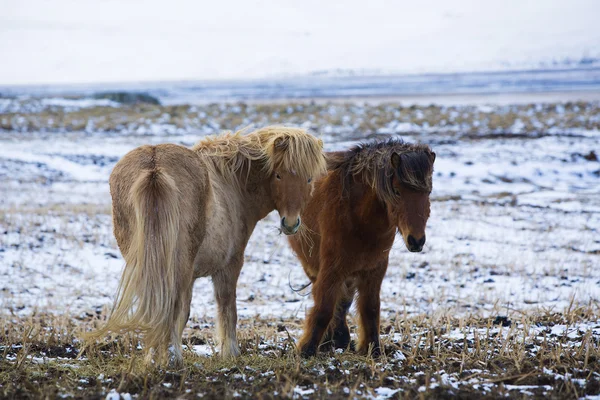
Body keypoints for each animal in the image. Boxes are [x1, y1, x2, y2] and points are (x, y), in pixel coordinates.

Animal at [85, 126, 324, 366]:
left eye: (309, 178)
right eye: (278, 175)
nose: (290, 223)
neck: (232, 182)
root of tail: (154, 165)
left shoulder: (190, 277)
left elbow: (184, 314)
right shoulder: (229, 266)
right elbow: (226, 308)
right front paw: (230, 353)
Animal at [288, 139, 434, 358]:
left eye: (428, 191)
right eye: (397, 191)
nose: (416, 240)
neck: (358, 217)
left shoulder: (374, 270)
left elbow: (370, 309)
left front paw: (372, 348)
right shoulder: (331, 268)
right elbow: (323, 308)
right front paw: (307, 349)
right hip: (315, 267)